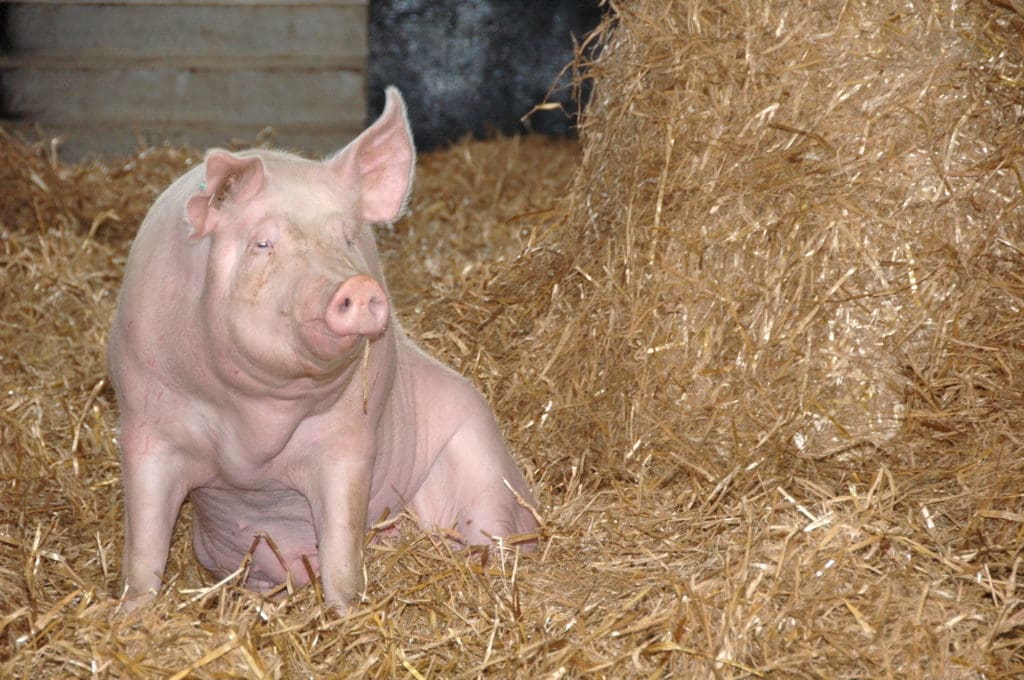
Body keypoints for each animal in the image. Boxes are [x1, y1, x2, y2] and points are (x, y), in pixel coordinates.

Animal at [107, 86, 540, 610]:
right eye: (262, 243)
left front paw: (347, 611)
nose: (356, 285)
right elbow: (144, 545)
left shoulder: (348, 442)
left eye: (348, 237)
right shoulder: (144, 425)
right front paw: (131, 613)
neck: (254, 434)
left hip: (482, 461)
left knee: (493, 531)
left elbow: (341, 548)